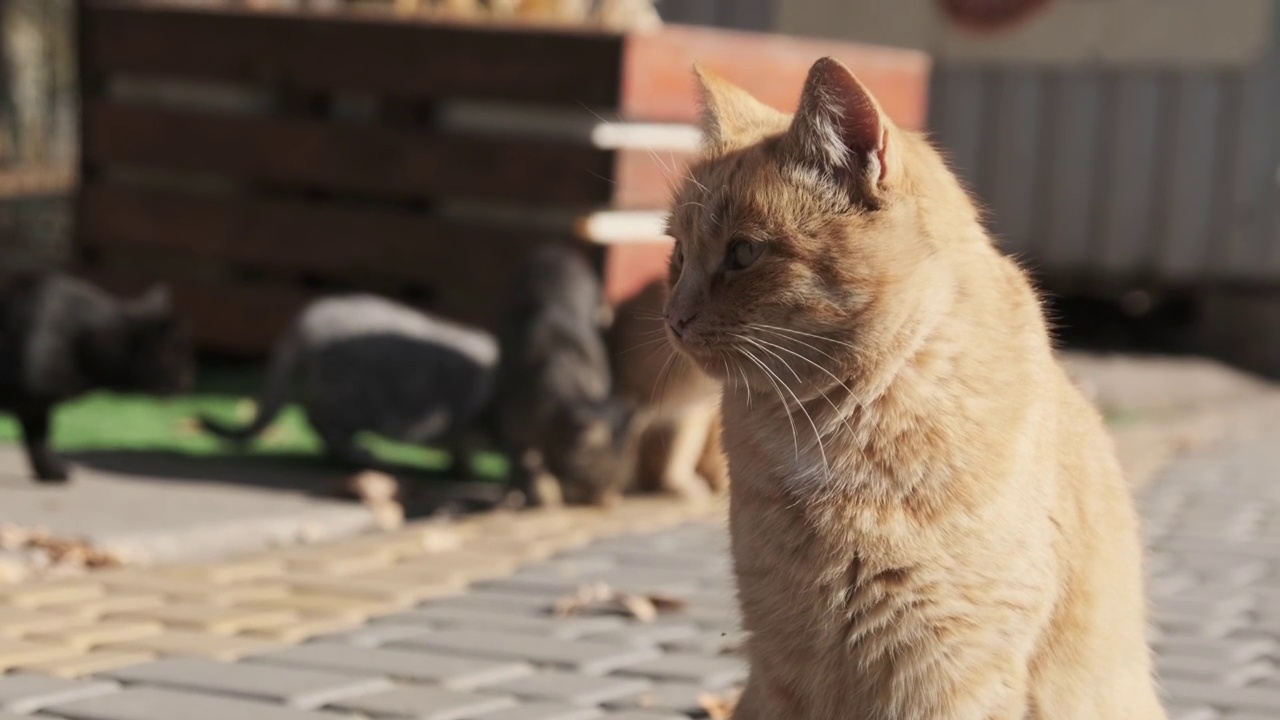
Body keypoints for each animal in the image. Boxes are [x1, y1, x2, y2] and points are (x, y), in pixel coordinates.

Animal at [0, 274, 194, 481]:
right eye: (181, 362)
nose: (189, 383)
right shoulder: (35, 403)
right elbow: (39, 439)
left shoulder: (36, 407)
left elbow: (39, 440)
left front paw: (50, 472)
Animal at [488, 243, 640, 507]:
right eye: (601, 479)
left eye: (620, 480)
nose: (611, 500)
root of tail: (554, 250)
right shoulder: (512, 427)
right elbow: (526, 464)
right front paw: (537, 494)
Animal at [670, 57, 1172, 717]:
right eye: (678, 253)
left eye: (745, 253)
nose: (673, 317)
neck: (831, 427)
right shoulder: (783, 659)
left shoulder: (946, 667)